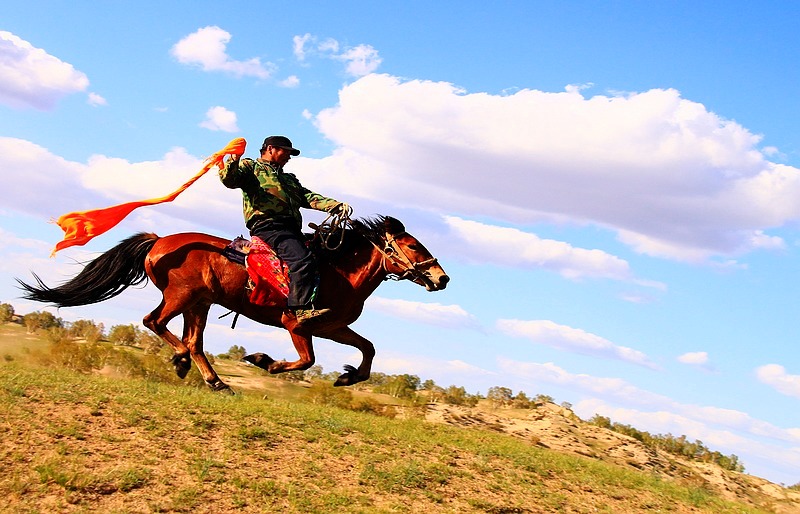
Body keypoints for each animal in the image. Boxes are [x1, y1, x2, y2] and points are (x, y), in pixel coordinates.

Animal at [17, 215, 450, 388]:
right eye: (414, 246)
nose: (441, 278)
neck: (337, 271)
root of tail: (158, 241)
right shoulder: (298, 324)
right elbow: (306, 360)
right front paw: (263, 361)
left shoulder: (332, 326)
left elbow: (368, 349)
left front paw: (347, 377)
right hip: (183, 297)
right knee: (155, 323)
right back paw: (182, 363)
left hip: (200, 304)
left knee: (193, 342)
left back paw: (213, 380)